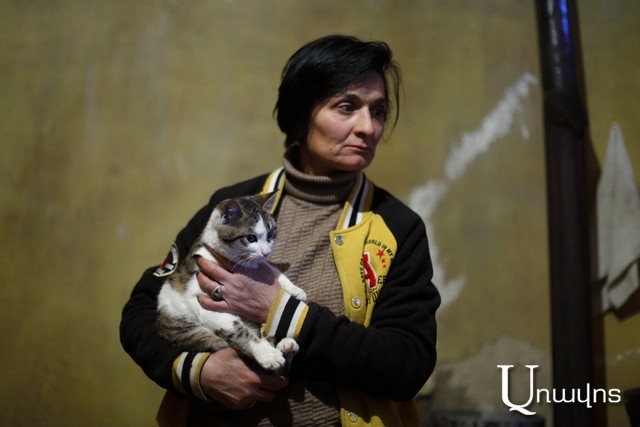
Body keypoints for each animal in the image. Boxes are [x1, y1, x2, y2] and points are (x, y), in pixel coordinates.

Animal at [157, 192, 307, 372]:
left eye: (270, 234)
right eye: (250, 238)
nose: (267, 252)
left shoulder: (258, 263)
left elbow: (271, 269)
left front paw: (293, 288)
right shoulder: (203, 300)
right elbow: (238, 330)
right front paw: (267, 354)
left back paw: (285, 344)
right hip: (186, 328)